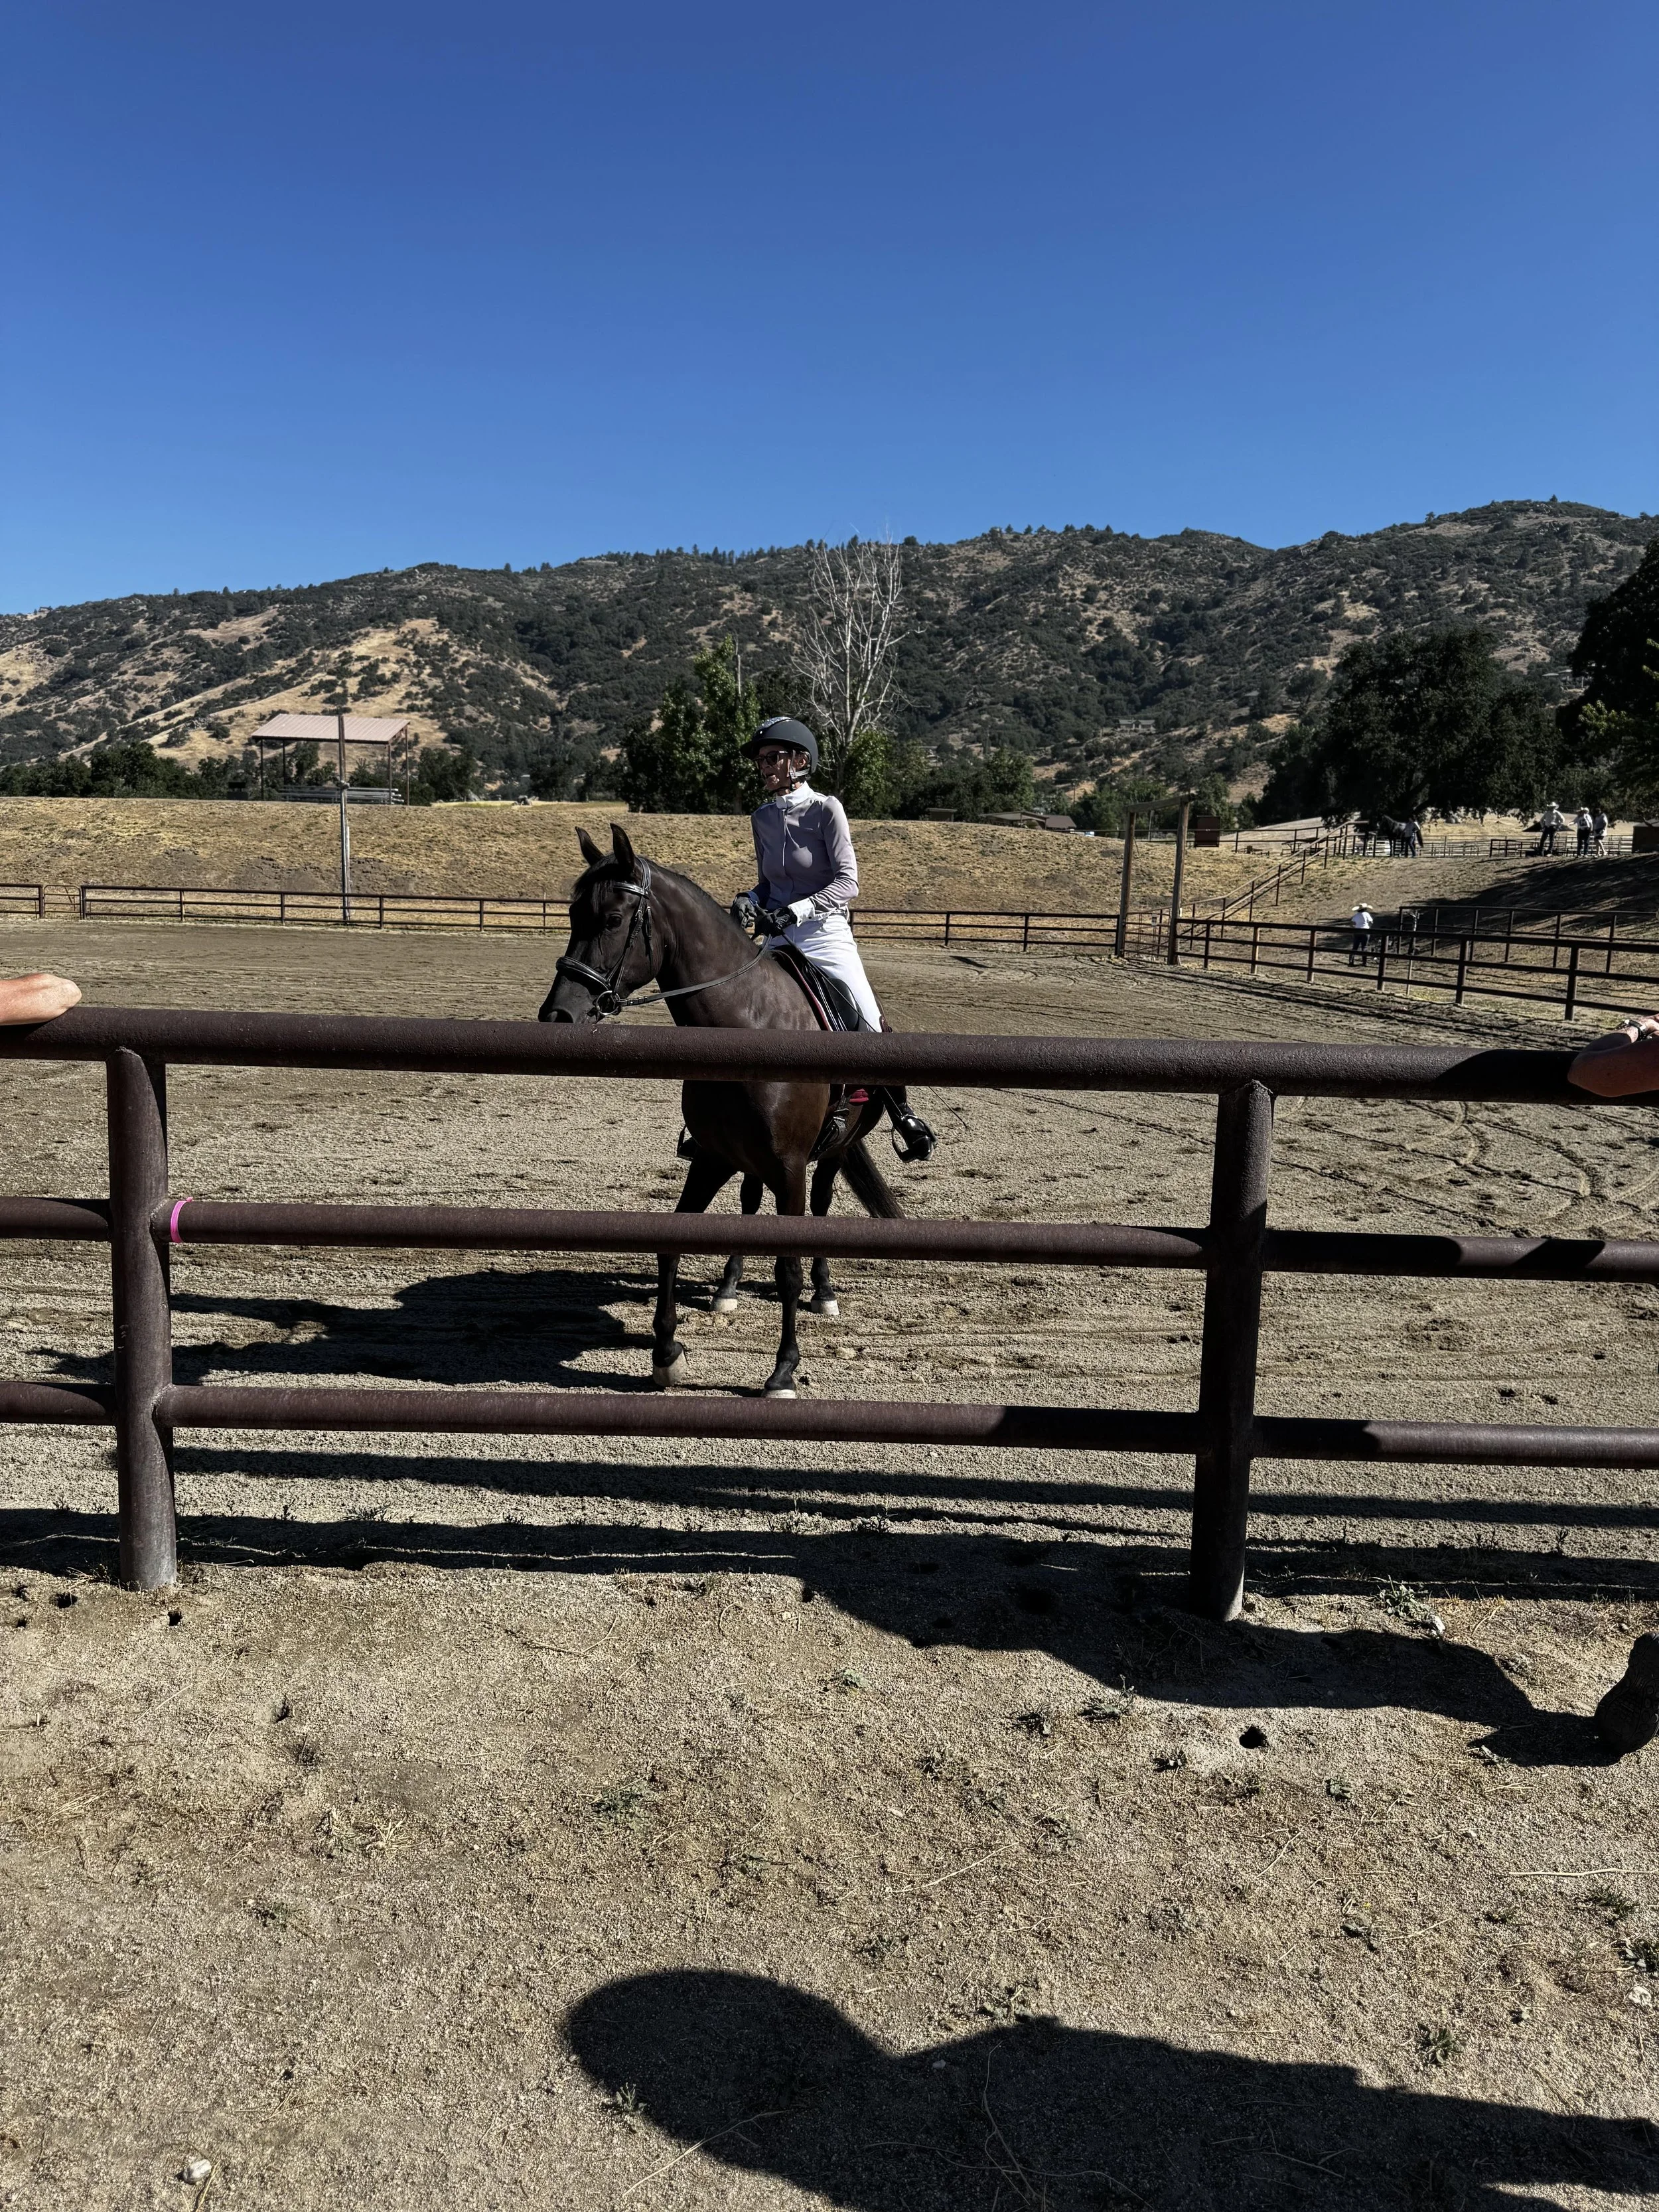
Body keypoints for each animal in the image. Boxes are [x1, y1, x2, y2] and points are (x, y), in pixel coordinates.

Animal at [538, 823, 904, 1399]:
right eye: (573, 915)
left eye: (613, 919)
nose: (558, 1015)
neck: (748, 1023)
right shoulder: (713, 1156)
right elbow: (673, 1242)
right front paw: (667, 1353)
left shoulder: (791, 1167)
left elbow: (788, 1267)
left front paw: (783, 1370)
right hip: (749, 1160)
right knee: (750, 1207)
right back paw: (728, 1287)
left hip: (832, 1150)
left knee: (822, 1207)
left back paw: (824, 1292)